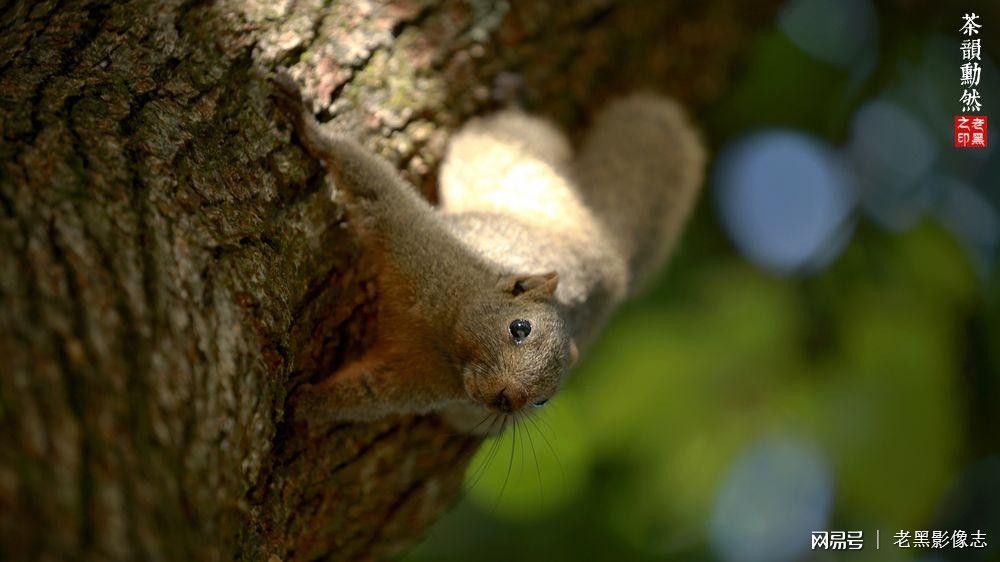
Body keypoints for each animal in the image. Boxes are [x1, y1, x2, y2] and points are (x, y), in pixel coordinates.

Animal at [268, 71, 704, 434]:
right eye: (519, 328)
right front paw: (309, 127)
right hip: (503, 150)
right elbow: (374, 188)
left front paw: (305, 404)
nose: (507, 400)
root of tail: (611, 257)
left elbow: (369, 393)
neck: (445, 337)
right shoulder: (427, 251)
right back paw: (513, 97)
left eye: (543, 400)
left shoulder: (422, 383)